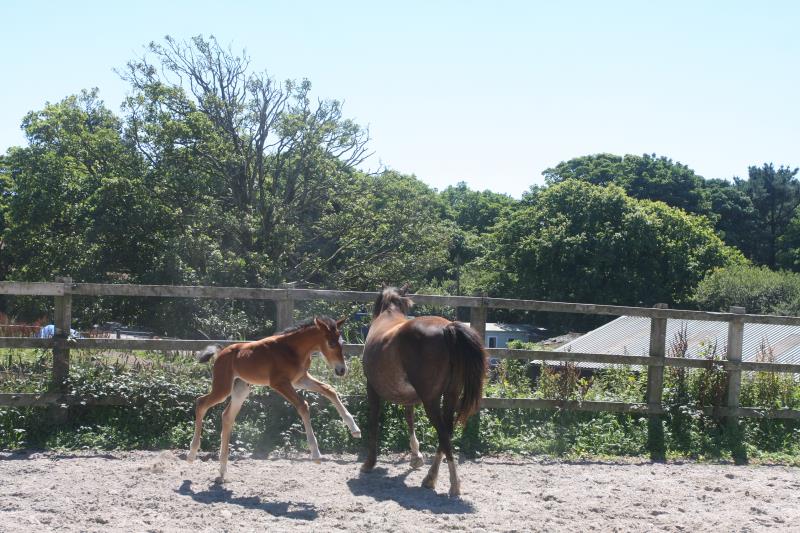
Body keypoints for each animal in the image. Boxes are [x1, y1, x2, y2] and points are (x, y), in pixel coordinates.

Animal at [188, 314, 360, 480]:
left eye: (342, 342)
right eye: (331, 343)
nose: (341, 370)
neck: (292, 349)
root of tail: (221, 352)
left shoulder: (300, 379)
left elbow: (329, 390)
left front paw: (355, 429)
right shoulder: (279, 383)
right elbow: (303, 405)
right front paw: (316, 454)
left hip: (241, 389)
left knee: (227, 416)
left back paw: (222, 471)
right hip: (222, 388)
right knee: (201, 402)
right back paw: (192, 454)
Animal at [362, 284, 488, 496]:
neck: (389, 314)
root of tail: (447, 329)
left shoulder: (371, 388)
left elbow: (373, 420)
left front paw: (369, 462)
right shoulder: (409, 396)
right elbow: (410, 418)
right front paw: (416, 457)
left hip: (431, 401)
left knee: (443, 434)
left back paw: (453, 484)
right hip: (451, 395)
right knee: (446, 433)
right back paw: (430, 478)